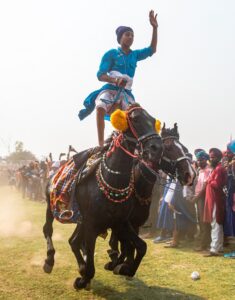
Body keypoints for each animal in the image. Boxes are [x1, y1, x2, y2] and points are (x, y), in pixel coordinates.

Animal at [42, 104, 163, 290]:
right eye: (135, 119)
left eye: (153, 120)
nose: (157, 147)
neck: (114, 179)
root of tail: (54, 171)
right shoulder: (92, 223)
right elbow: (92, 259)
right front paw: (84, 278)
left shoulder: (121, 222)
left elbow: (141, 246)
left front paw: (125, 269)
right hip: (51, 206)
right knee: (48, 229)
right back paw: (49, 260)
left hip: (81, 220)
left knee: (73, 241)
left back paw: (81, 267)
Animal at [103, 123, 196, 274]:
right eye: (168, 148)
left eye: (185, 149)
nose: (190, 175)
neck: (138, 189)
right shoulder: (124, 223)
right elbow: (127, 244)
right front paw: (119, 262)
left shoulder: (135, 223)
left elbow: (131, 246)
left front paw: (125, 265)